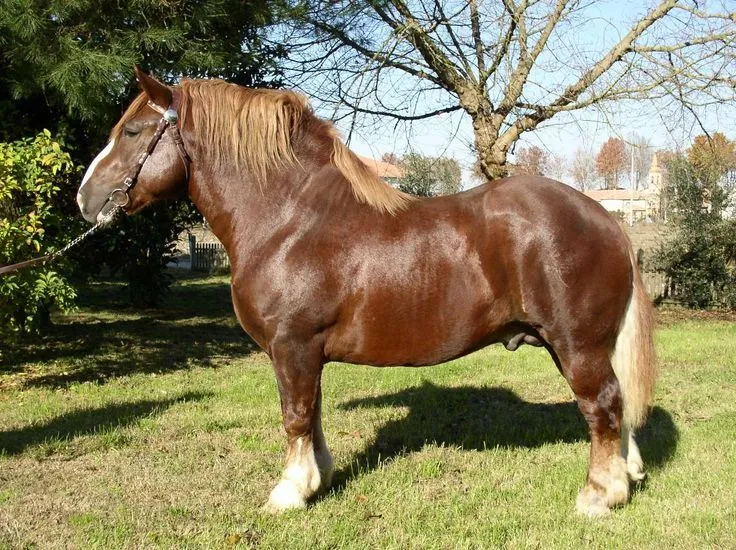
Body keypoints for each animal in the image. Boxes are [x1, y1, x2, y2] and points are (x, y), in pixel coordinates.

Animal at [76, 68, 656, 517]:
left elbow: (294, 414)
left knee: (602, 403)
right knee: (617, 404)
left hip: (576, 345)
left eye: (132, 131)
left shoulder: (292, 345)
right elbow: (311, 413)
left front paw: (289, 493)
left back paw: (600, 495)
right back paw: (627, 475)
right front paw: (319, 479)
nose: (86, 198)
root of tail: (607, 218)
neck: (288, 219)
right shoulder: (306, 353)